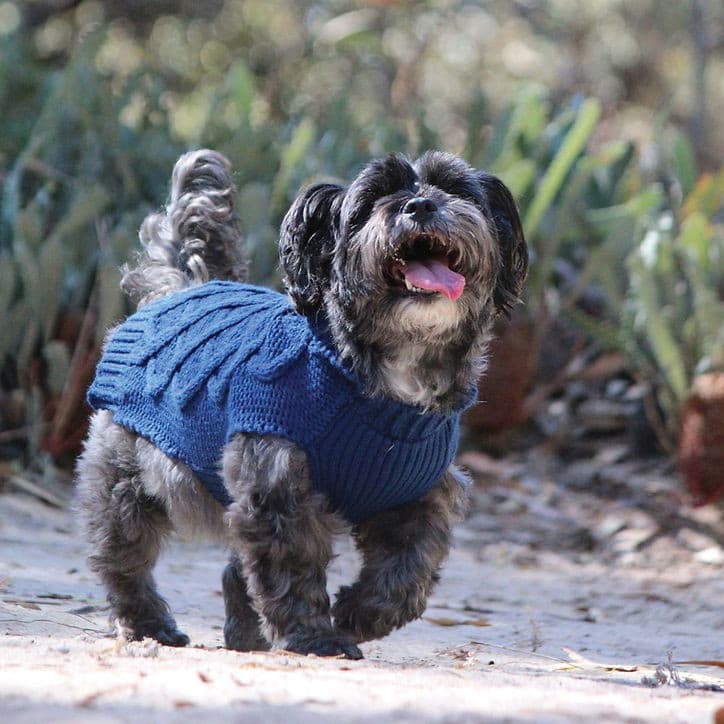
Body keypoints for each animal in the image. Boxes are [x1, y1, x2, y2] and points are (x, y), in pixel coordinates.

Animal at [75, 148, 528, 660]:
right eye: (373, 199)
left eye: (452, 188)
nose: (419, 206)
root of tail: (183, 287)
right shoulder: (277, 481)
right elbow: (291, 563)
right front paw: (316, 637)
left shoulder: (422, 494)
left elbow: (410, 569)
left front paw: (360, 614)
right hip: (127, 476)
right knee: (123, 557)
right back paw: (148, 623)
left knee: (235, 571)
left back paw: (245, 635)